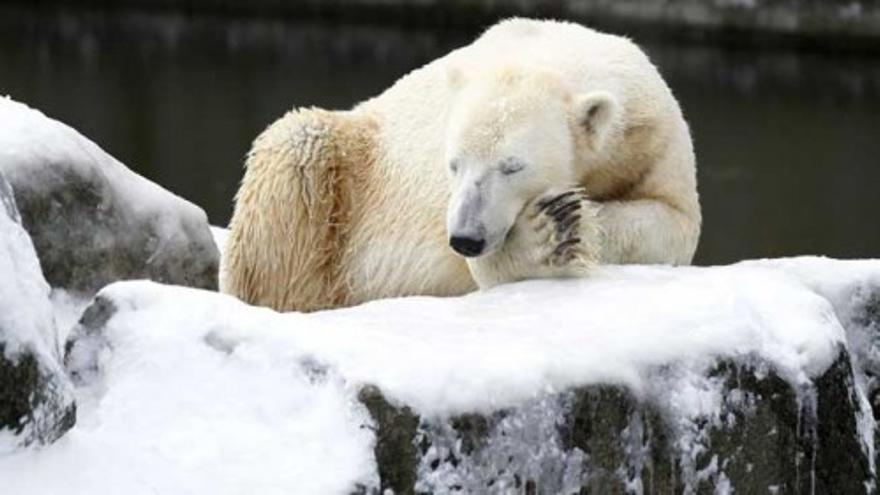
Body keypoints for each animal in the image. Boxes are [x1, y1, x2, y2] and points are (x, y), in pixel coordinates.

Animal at [222, 20, 700, 314]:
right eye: (453, 164)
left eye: (512, 167)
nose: (466, 238)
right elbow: (489, 268)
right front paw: (545, 232)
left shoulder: (652, 131)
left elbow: (675, 221)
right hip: (350, 169)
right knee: (297, 143)